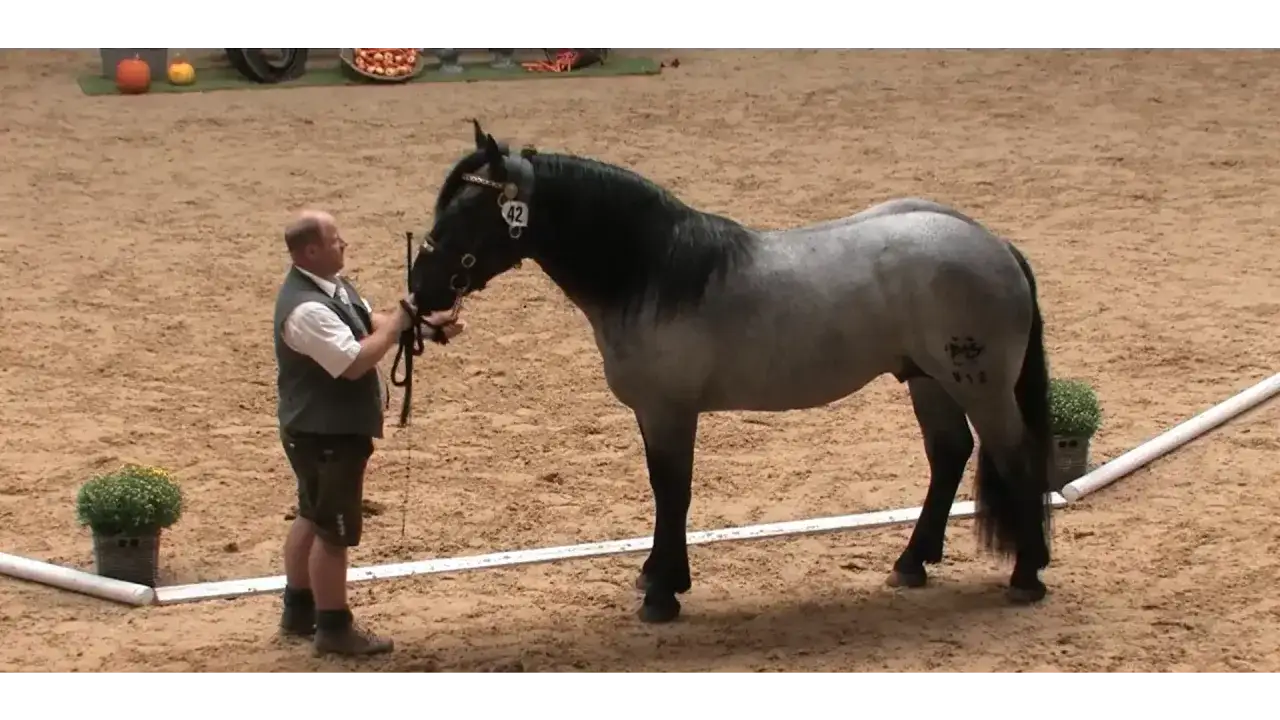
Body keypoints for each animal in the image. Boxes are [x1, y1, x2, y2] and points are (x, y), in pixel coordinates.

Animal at [404, 120, 1057, 624]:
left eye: (470, 210)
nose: (420, 290)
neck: (653, 273)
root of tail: (993, 243)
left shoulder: (669, 411)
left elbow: (672, 490)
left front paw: (663, 593)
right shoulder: (655, 413)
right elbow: (665, 490)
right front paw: (657, 576)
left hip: (980, 386)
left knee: (1015, 456)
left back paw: (1026, 576)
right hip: (927, 380)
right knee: (949, 455)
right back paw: (911, 563)